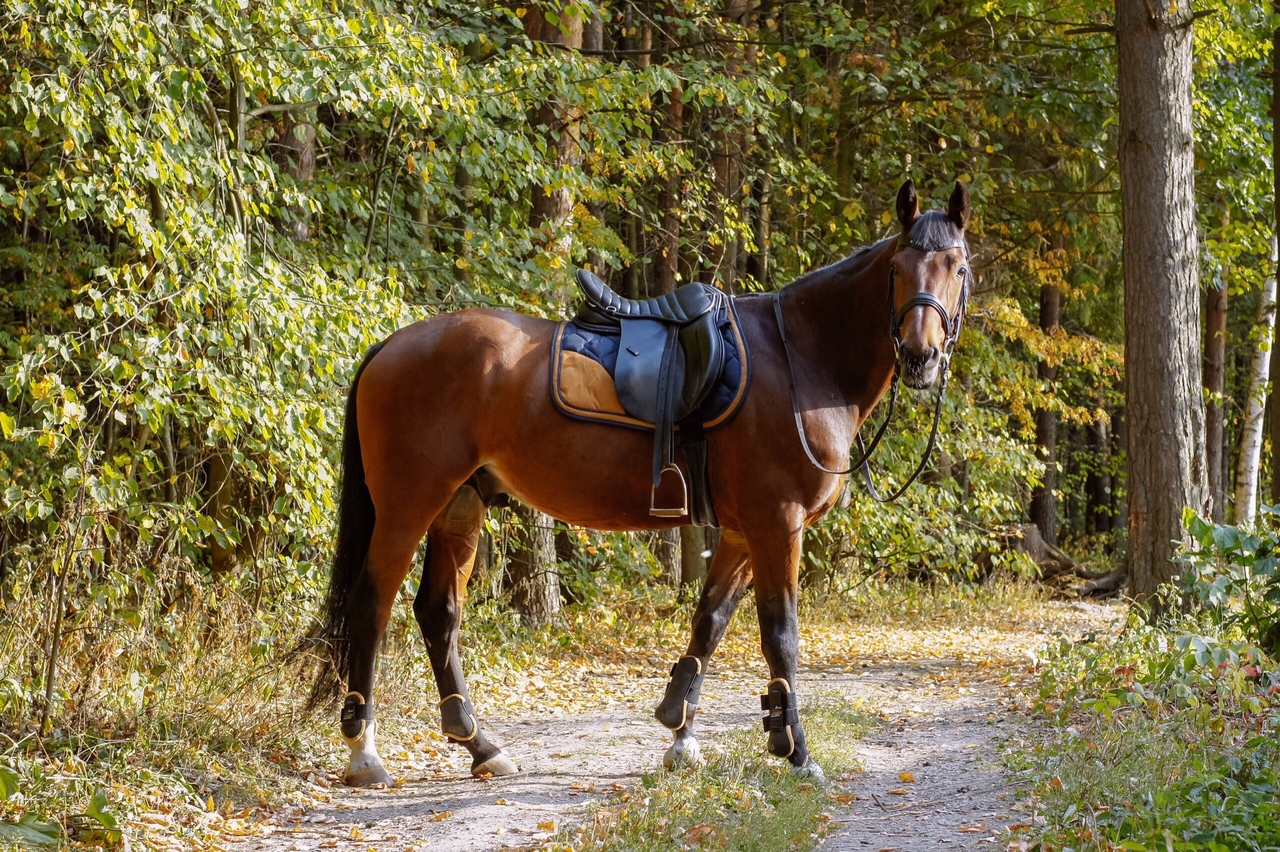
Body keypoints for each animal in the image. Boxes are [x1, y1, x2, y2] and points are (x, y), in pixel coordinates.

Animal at [314, 177, 972, 782]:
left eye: (958, 267)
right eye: (898, 268)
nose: (921, 357)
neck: (799, 361)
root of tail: (390, 346)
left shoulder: (741, 532)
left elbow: (709, 624)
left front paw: (681, 734)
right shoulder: (777, 524)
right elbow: (780, 636)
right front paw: (797, 753)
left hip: (461, 505)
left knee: (438, 612)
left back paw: (481, 745)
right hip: (408, 505)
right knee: (371, 606)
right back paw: (364, 752)